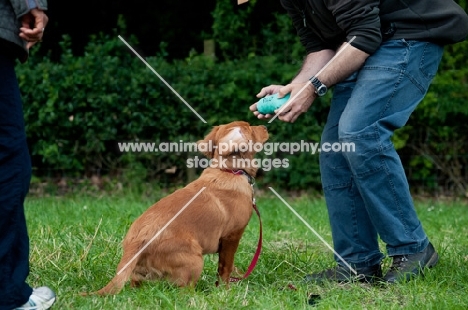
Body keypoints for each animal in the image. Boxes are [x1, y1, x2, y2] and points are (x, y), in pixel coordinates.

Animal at [88, 121, 268, 296]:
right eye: (250, 128)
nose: (265, 127)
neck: (229, 170)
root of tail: (137, 242)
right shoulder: (232, 236)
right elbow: (225, 268)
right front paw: (225, 291)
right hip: (194, 260)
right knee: (183, 291)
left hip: (141, 275)